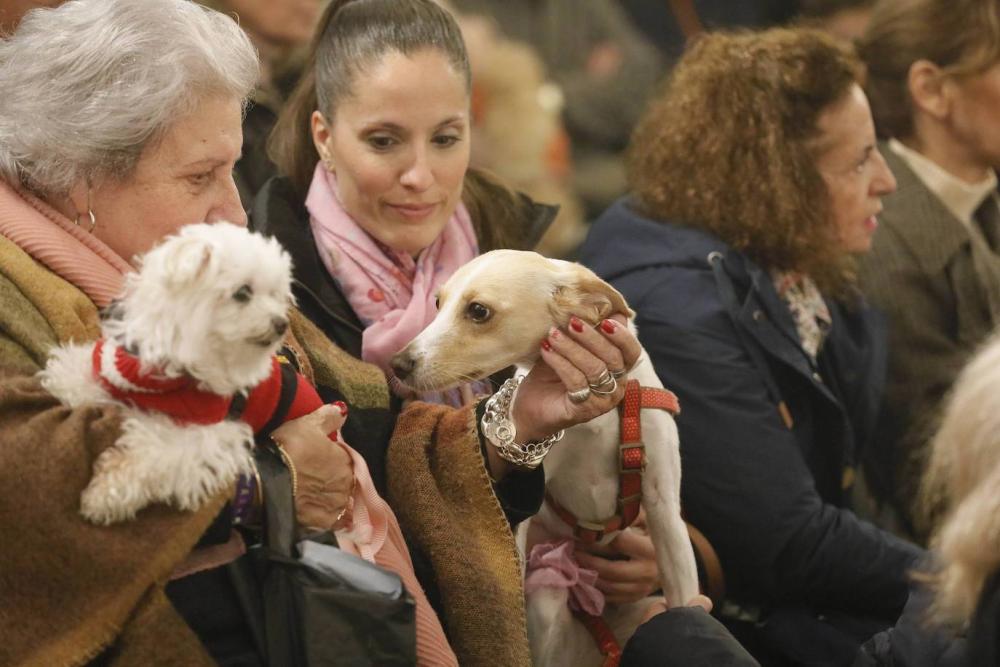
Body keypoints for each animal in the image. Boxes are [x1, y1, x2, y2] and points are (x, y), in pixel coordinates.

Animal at [40, 224, 296, 528]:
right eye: (243, 292)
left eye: (277, 295)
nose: (282, 324)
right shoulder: (111, 368)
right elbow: (75, 376)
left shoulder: (206, 435)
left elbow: (155, 457)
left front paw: (105, 494)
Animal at [386, 250, 700, 667]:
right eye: (438, 303)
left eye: (478, 311)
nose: (398, 364)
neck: (592, 420)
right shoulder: (525, 521)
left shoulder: (664, 510)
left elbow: (688, 601)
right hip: (547, 599)